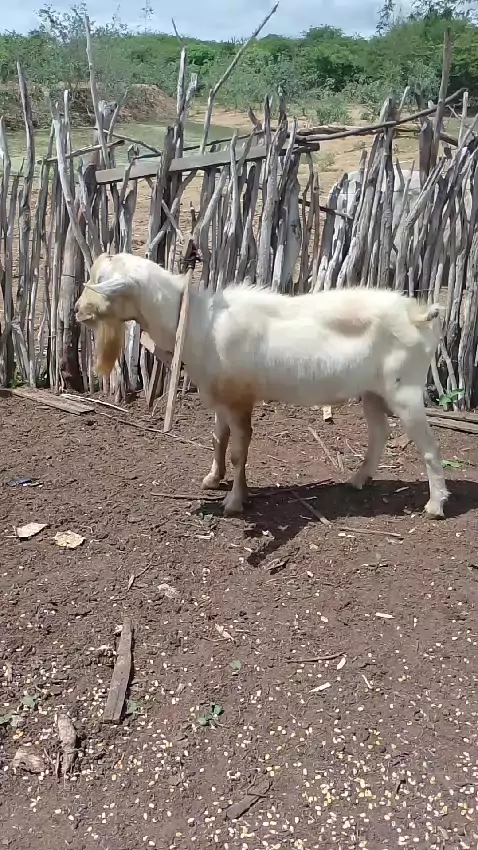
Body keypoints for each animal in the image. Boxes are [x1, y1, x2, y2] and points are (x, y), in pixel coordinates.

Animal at [75, 252, 449, 519]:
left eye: (101, 281)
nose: (77, 310)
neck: (197, 323)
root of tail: (418, 313)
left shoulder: (240, 399)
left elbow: (239, 450)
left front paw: (235, 501)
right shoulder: (222, 397)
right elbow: (219, 439)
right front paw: (214, 479)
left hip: (405, 389)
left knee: (429, 445)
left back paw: (435, 505)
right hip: (372, 391)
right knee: (380, 432)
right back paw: (358, 480)